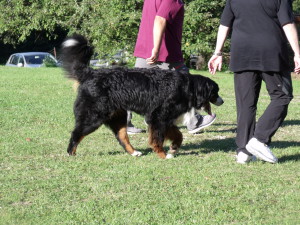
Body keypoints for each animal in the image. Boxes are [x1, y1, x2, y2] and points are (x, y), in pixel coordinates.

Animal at [59, 34, 223, 159]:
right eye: (215, 92)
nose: (222, 101)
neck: (186, 87)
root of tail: (91, 73)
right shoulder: (157, 117)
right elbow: (158, 139)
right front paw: (163, 154)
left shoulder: (166, 119)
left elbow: (178, 134)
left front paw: (174, 147)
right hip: (93, 117)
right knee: (76, 133)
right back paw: (71, 153)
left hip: (118, 116)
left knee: (122, 137)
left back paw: (134, 152)